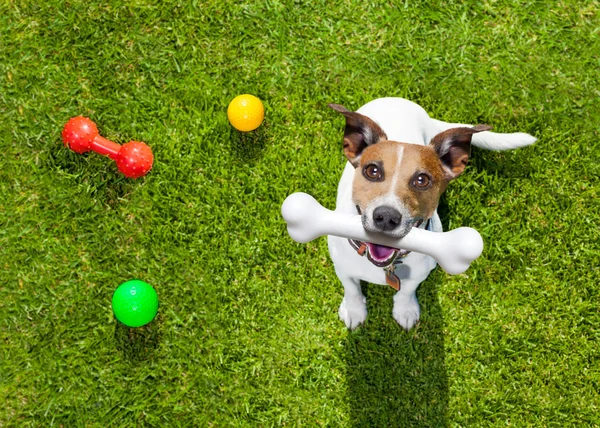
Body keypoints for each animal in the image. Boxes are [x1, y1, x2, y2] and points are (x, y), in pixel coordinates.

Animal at [326, 98, 536, 332]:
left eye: (422, 180)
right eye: (372, 171)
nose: (386, 217)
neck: (388, 265)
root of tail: (397, 100)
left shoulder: (419, 274)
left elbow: (406, 291)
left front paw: (405, 310)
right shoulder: (341, 266)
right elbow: (351, 288)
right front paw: (354, 310)